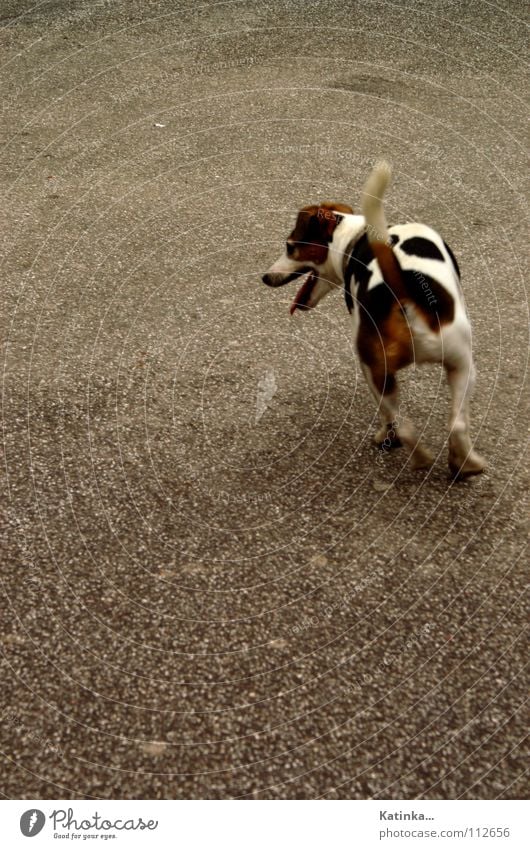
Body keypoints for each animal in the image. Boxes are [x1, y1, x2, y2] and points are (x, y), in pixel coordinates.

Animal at [260, 160, 482, 476]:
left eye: (290, 246)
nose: (265, 278)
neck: (352, 237)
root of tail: (401, 286)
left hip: (387, 367)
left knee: (410, 425)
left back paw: (425, 458)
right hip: (460, 365)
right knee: (455, 424)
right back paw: (461, 464)